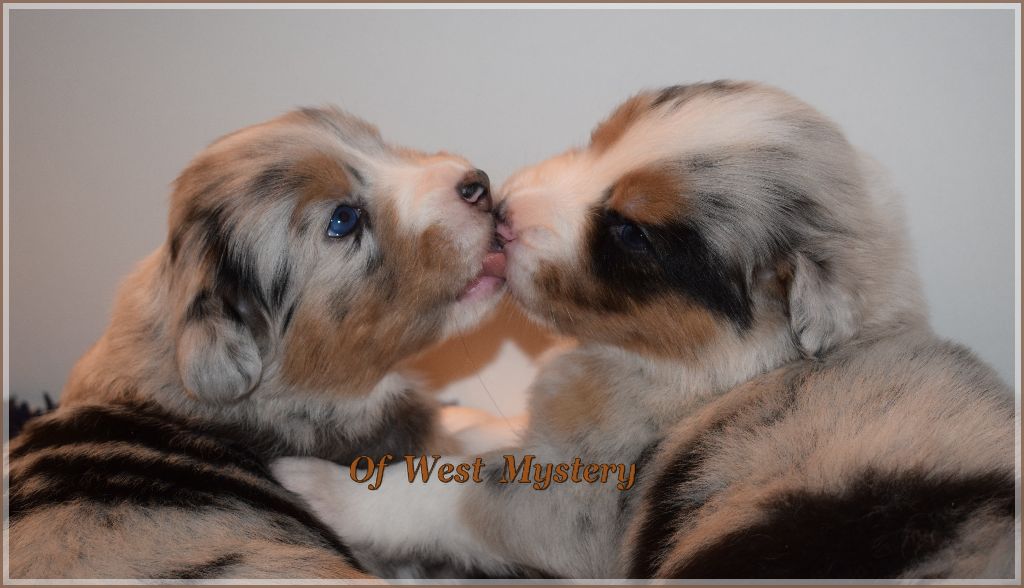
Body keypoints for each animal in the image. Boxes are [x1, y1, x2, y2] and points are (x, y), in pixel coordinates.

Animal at [274, 82, 1016, 579]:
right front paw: (466, 420)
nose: (504, 211)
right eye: (604, 135)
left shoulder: (579, 505)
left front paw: (319, 484)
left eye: (631, 233)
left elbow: (445, 493)